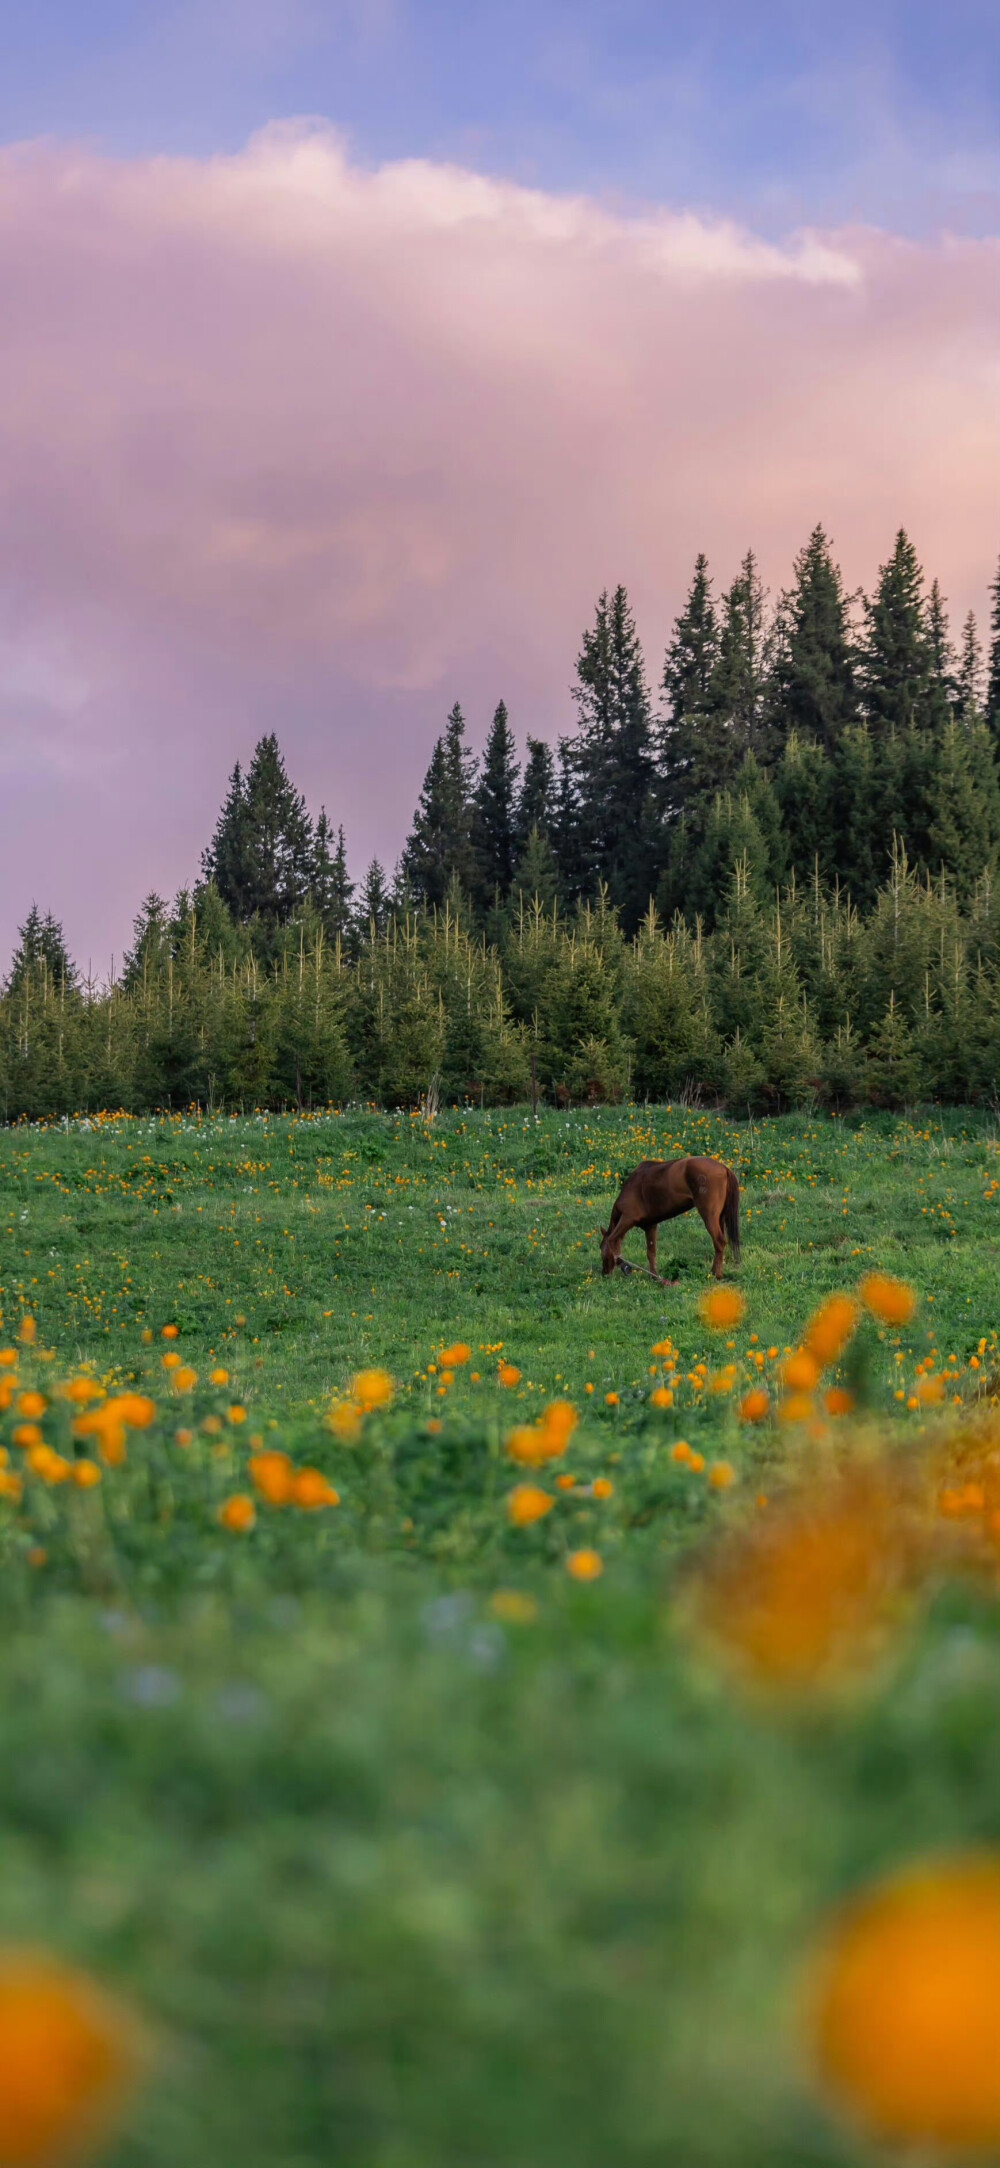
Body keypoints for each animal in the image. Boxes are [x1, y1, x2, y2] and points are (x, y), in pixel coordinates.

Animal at [594, 1162, 737, 1274]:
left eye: (601, 1248)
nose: (604, 1273)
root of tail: (724, 1168)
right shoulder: (650, 1226)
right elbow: (651, 1253)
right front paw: (655, 1277)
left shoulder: (627, 1219)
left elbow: (612, 1239)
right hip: (720, 1218)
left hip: (709, 1216)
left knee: (719, 1242)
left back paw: (715, 1274)